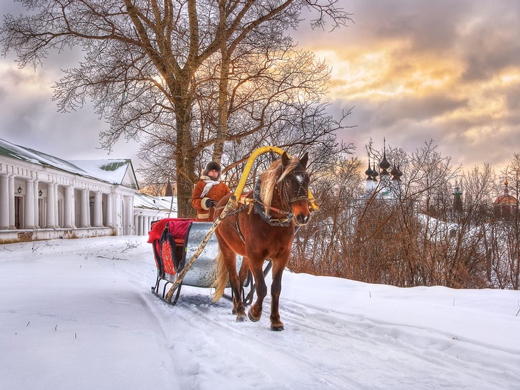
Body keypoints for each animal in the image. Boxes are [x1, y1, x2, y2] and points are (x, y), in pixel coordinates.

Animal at [210, 152, 308, 330]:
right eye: (288, 181)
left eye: (307, 179)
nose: (303, 216)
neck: (272, 221)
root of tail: (222, 203)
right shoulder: (256, 256)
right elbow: (261, 287)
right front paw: (254, 312)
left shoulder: (281, 257)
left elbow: (276, 288)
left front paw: (275, 320)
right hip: (227, 247)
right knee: (233, 278)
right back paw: (240, 311)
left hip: (245, 254)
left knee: (241, 278)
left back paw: (237, 307)